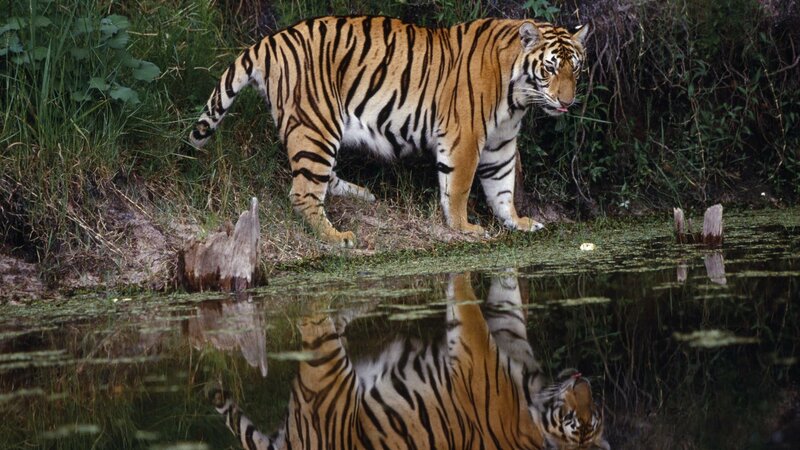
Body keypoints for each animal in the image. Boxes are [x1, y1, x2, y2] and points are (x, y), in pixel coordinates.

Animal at [189, 16, 590, 247]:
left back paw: (361, 195)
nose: (567, 102)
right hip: (316, 124)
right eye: (550, 69)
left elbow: (503, 186)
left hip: (317, 131)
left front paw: (518, 222)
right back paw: (338, 237)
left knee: (320, 178)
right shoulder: (464, 137)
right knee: (303, 192)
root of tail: (270, 41)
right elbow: (459, 187)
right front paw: (464, 228)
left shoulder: (501, 142)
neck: (517, 96)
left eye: (575, 68)